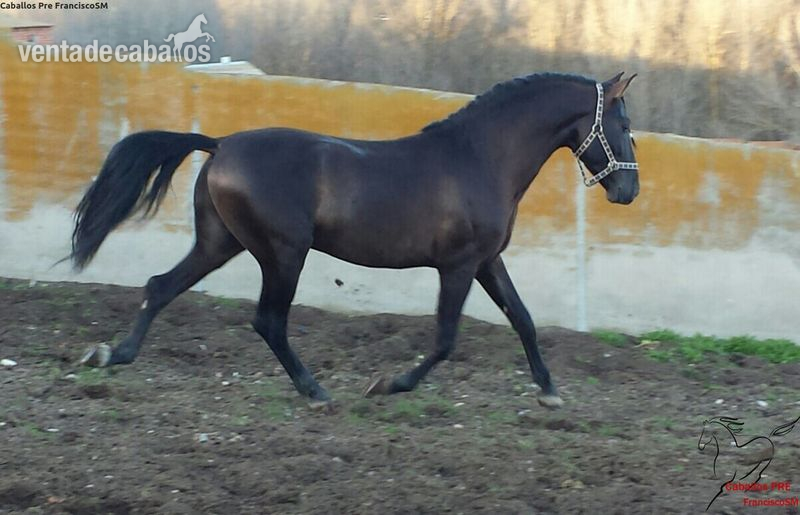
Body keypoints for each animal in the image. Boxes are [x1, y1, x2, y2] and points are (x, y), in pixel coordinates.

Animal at [72, 72, 640, 409]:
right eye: (624, 123)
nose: (628, 191)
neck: (480, 158)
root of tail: (221, 144)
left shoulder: (487, 261)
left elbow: (523, 319)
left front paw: (550, 392)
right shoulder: (458, 265)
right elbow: (445, 339)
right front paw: (388, 384)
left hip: (220, 243)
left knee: (161, 285)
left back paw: (112, 354)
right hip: (284, 252)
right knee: (268, 321)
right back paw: (315, 392)